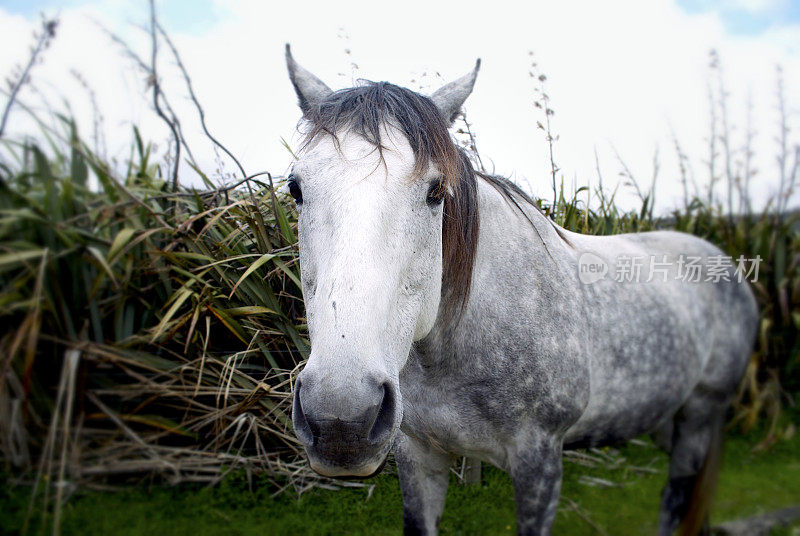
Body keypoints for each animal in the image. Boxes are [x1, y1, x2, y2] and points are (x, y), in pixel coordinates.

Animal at [284, 44, 760, 532]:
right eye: (295, 188)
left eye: (436, 191)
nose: (341, 419)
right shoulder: (417, 453)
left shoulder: (540, 461)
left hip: (700, 414)